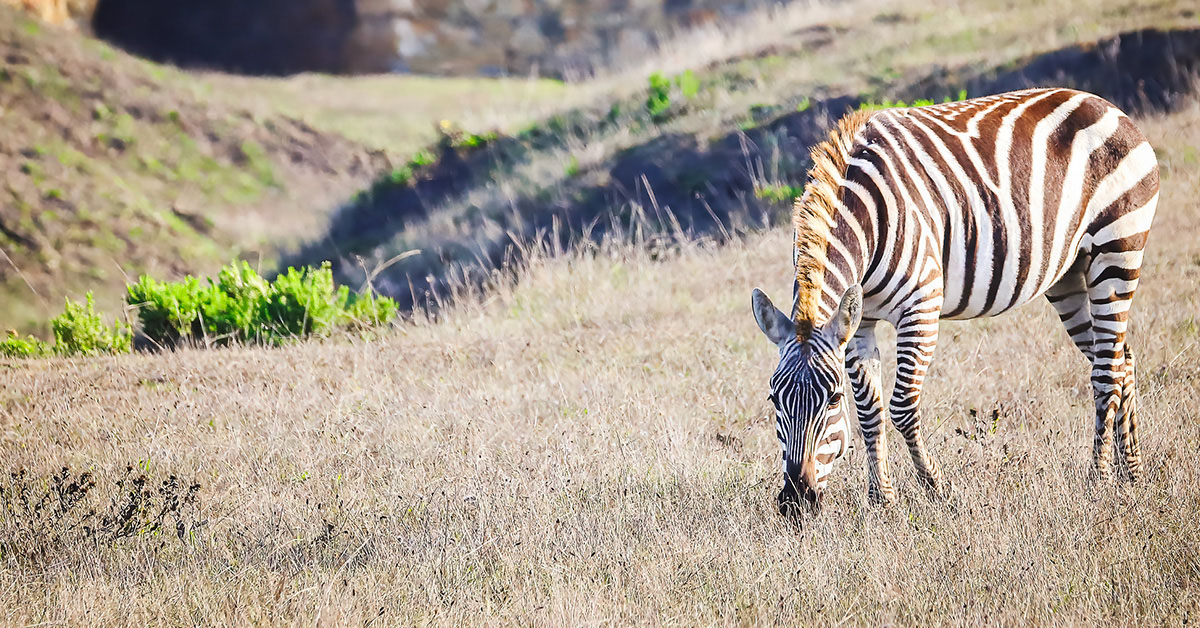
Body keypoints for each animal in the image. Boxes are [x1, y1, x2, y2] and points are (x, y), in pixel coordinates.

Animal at [753, 88, 1156, 513]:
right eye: (773, 399)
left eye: (832, 399)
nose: (796, 501)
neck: (867, 220)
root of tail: (1106, 105)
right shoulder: (859, 323)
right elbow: (869, 411)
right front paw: (882, 500)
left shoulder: (921, 306)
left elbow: (902, 407)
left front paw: (936, 488)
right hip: (1070, 275)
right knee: (1121, 359)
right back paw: (1131, 473)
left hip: (1117, 250)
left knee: (1106, 372)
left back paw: (1098, 480)